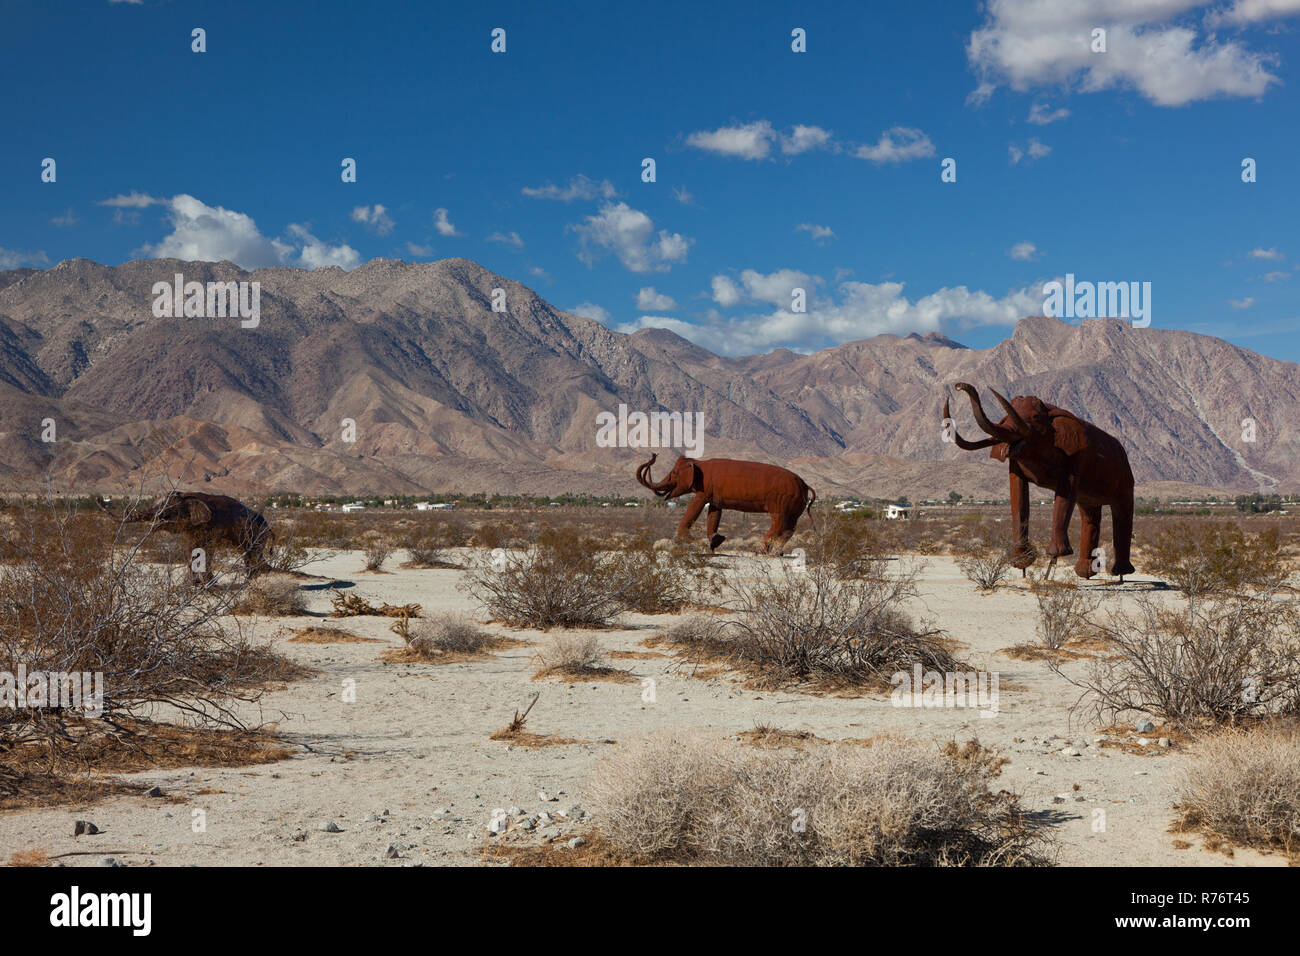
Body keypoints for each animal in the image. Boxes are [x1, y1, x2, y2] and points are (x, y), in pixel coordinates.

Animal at [97, 492, 273, 580]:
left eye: (166, 510)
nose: (99, 499)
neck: (190, 496)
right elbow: (193, 551)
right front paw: (194, 584)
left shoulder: (215, 526)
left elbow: (207, 551)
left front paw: (208, 583)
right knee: (251, 554)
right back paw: (263, 574)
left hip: (258, 533)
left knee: (252, 554)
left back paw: (253, 578)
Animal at [636, 453, 816, 555]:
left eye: (674, 473)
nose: (653, 455)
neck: (699, 464)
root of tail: (805, 484)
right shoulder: (715, 497)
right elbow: (714, 514)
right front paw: (715, 542)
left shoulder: (704, 492)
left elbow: (694, 508)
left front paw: (685, 540)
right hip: (794, 509)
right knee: (789, 529)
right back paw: (776, 552)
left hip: (780, 504)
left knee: (778, 525)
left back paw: (758, 550)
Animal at [943, 382, 1135, 580]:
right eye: (1005, 418)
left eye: (1036, 417)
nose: (959, 386)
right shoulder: (1015, 462)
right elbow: (1018, 496)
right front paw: (1022, 563)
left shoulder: (1075, 456)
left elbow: (1065, 494)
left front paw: (1054, 554)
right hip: (1092, 497)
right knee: (1089, 515)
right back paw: (1086, 573)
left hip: (1126, 481)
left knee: (1122, 513)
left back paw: (1120, 573)